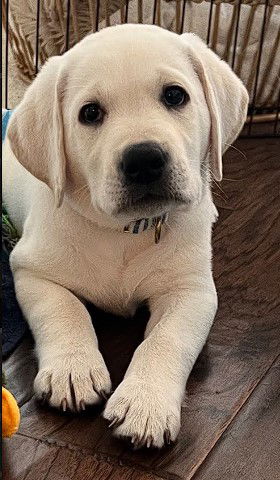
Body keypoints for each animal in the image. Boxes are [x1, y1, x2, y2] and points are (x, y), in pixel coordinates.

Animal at [1, 24, 247, 448]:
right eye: (90, 113)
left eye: (175, 95)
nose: (144, 159)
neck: (124, 232)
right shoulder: (31, 270)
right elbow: (64, 310)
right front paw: (73, 369)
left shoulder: (192, 290)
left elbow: (166, 339)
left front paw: (145, 403)